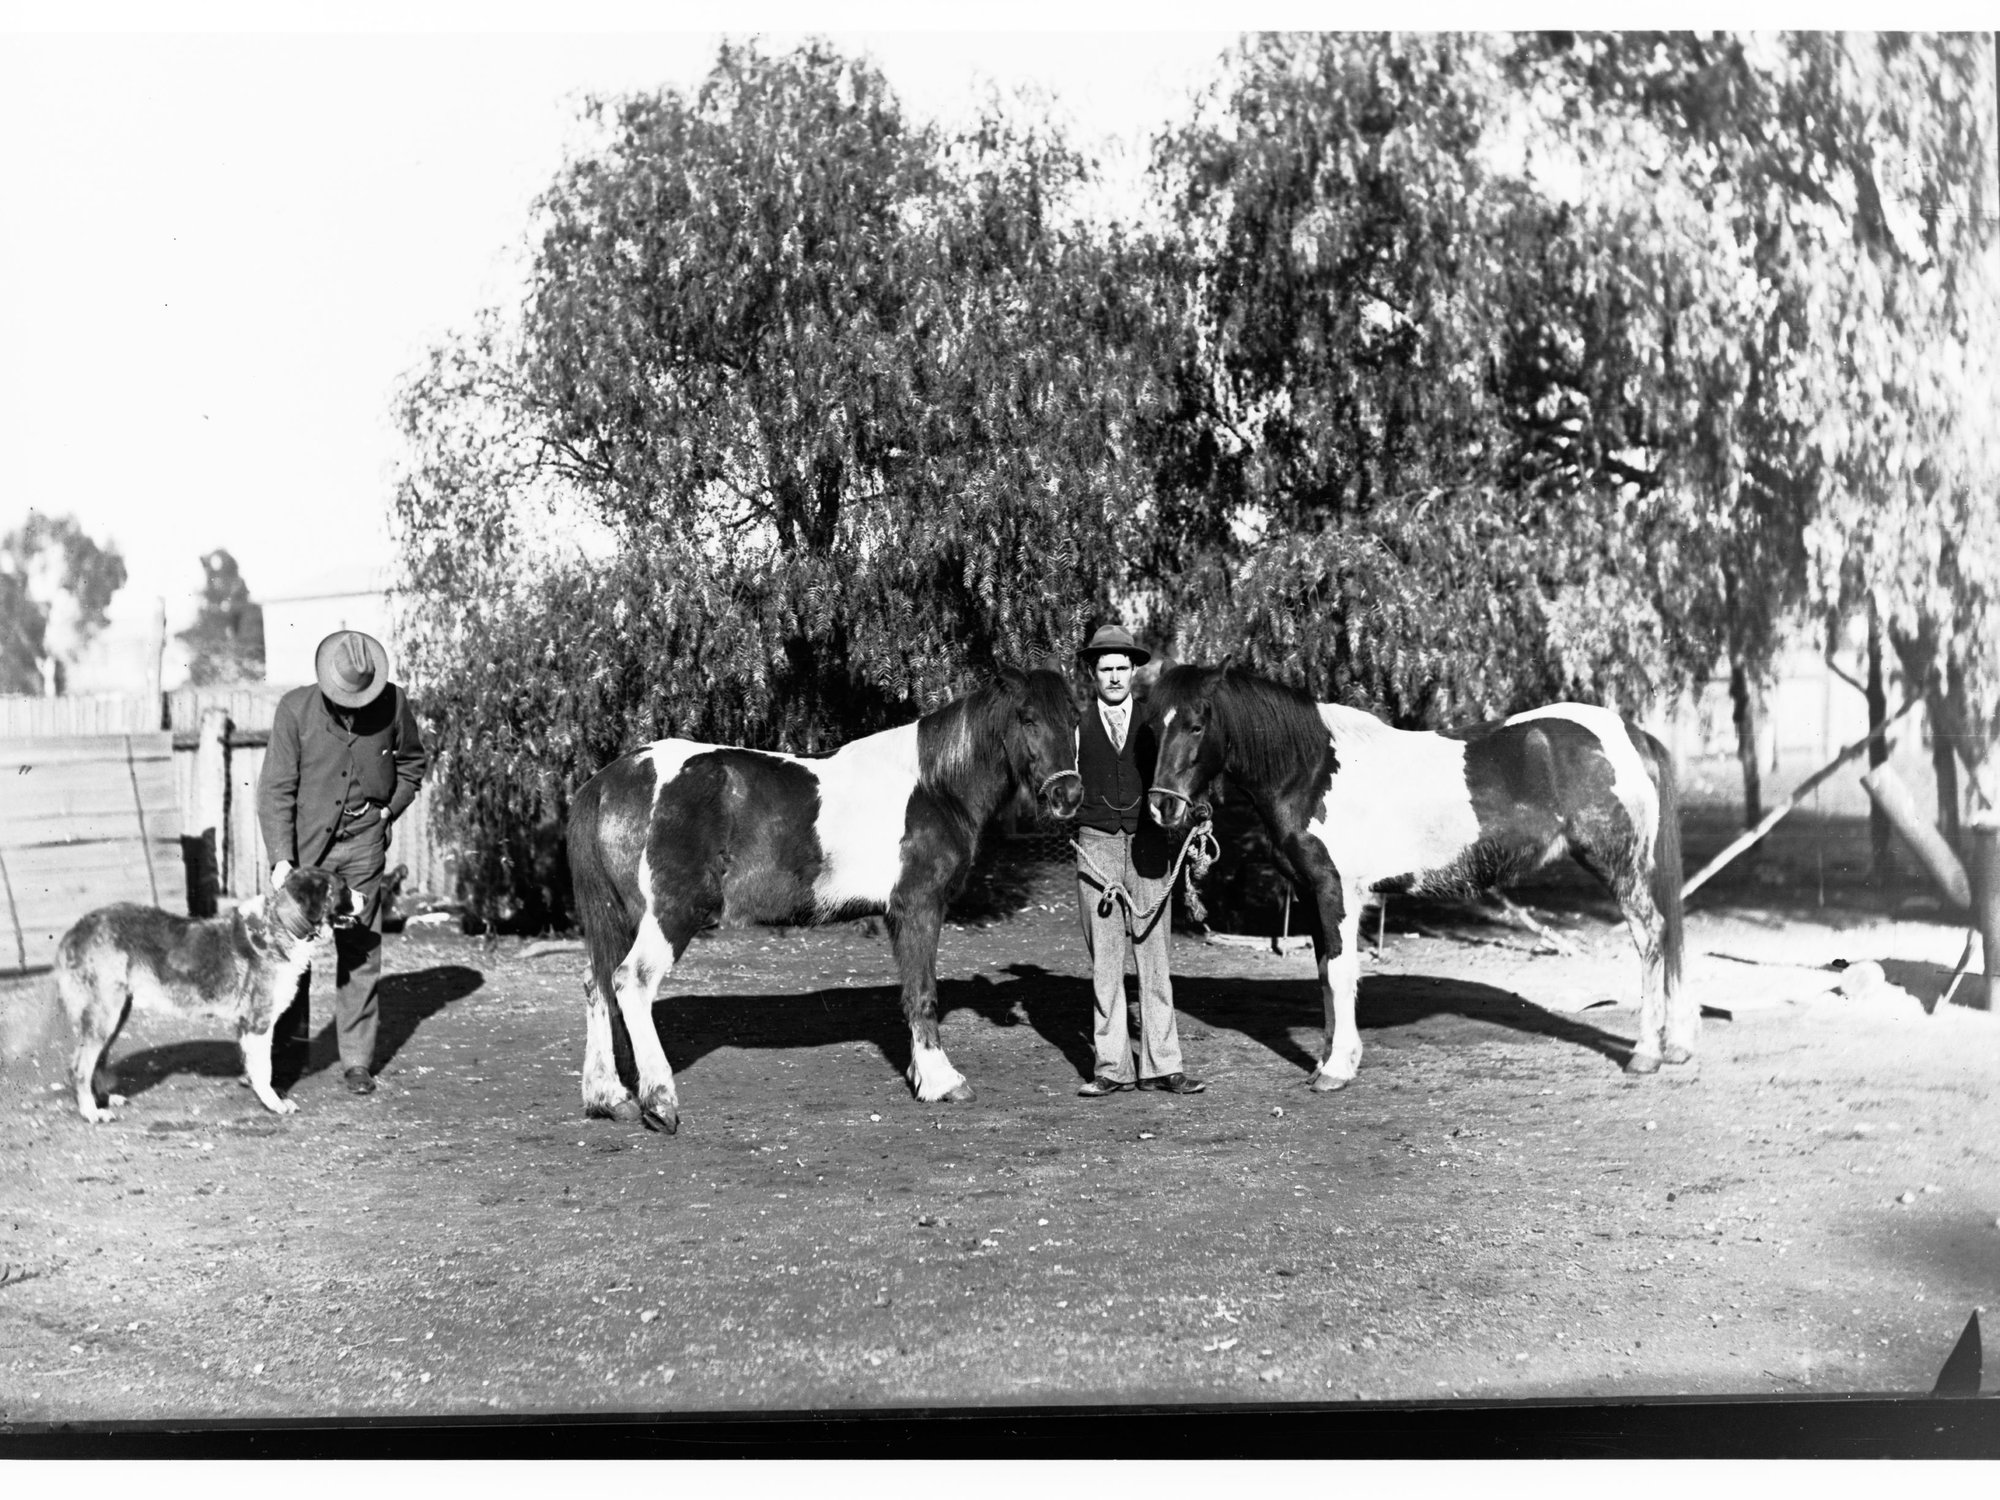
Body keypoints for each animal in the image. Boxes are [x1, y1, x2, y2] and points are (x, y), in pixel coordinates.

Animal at [565, 667, 1083, 1133]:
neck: (933, 786)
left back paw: (610, 1098)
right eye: (1028, 717)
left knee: (598, 984)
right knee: (631, 981)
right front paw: (943, 1082)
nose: (1068, 794)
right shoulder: (918, 906)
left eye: (1076, 717)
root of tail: (607, 781)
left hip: (621, 918)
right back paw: (659, 1102)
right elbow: (922, 993)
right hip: (671, 913)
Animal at [1144, 664, 1690, 1089]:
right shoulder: (1310, 894)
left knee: (1651, 937)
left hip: (1616, 864)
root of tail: (1634, 736)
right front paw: (1327, 1058)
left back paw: (1646, 1054)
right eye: (1152, 725)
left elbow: (1340, 973)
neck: (1314, 772)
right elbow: (1324, 973)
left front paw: (1336, 1070)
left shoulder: (1336, 892)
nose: (1162, 806)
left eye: (1197, 725)